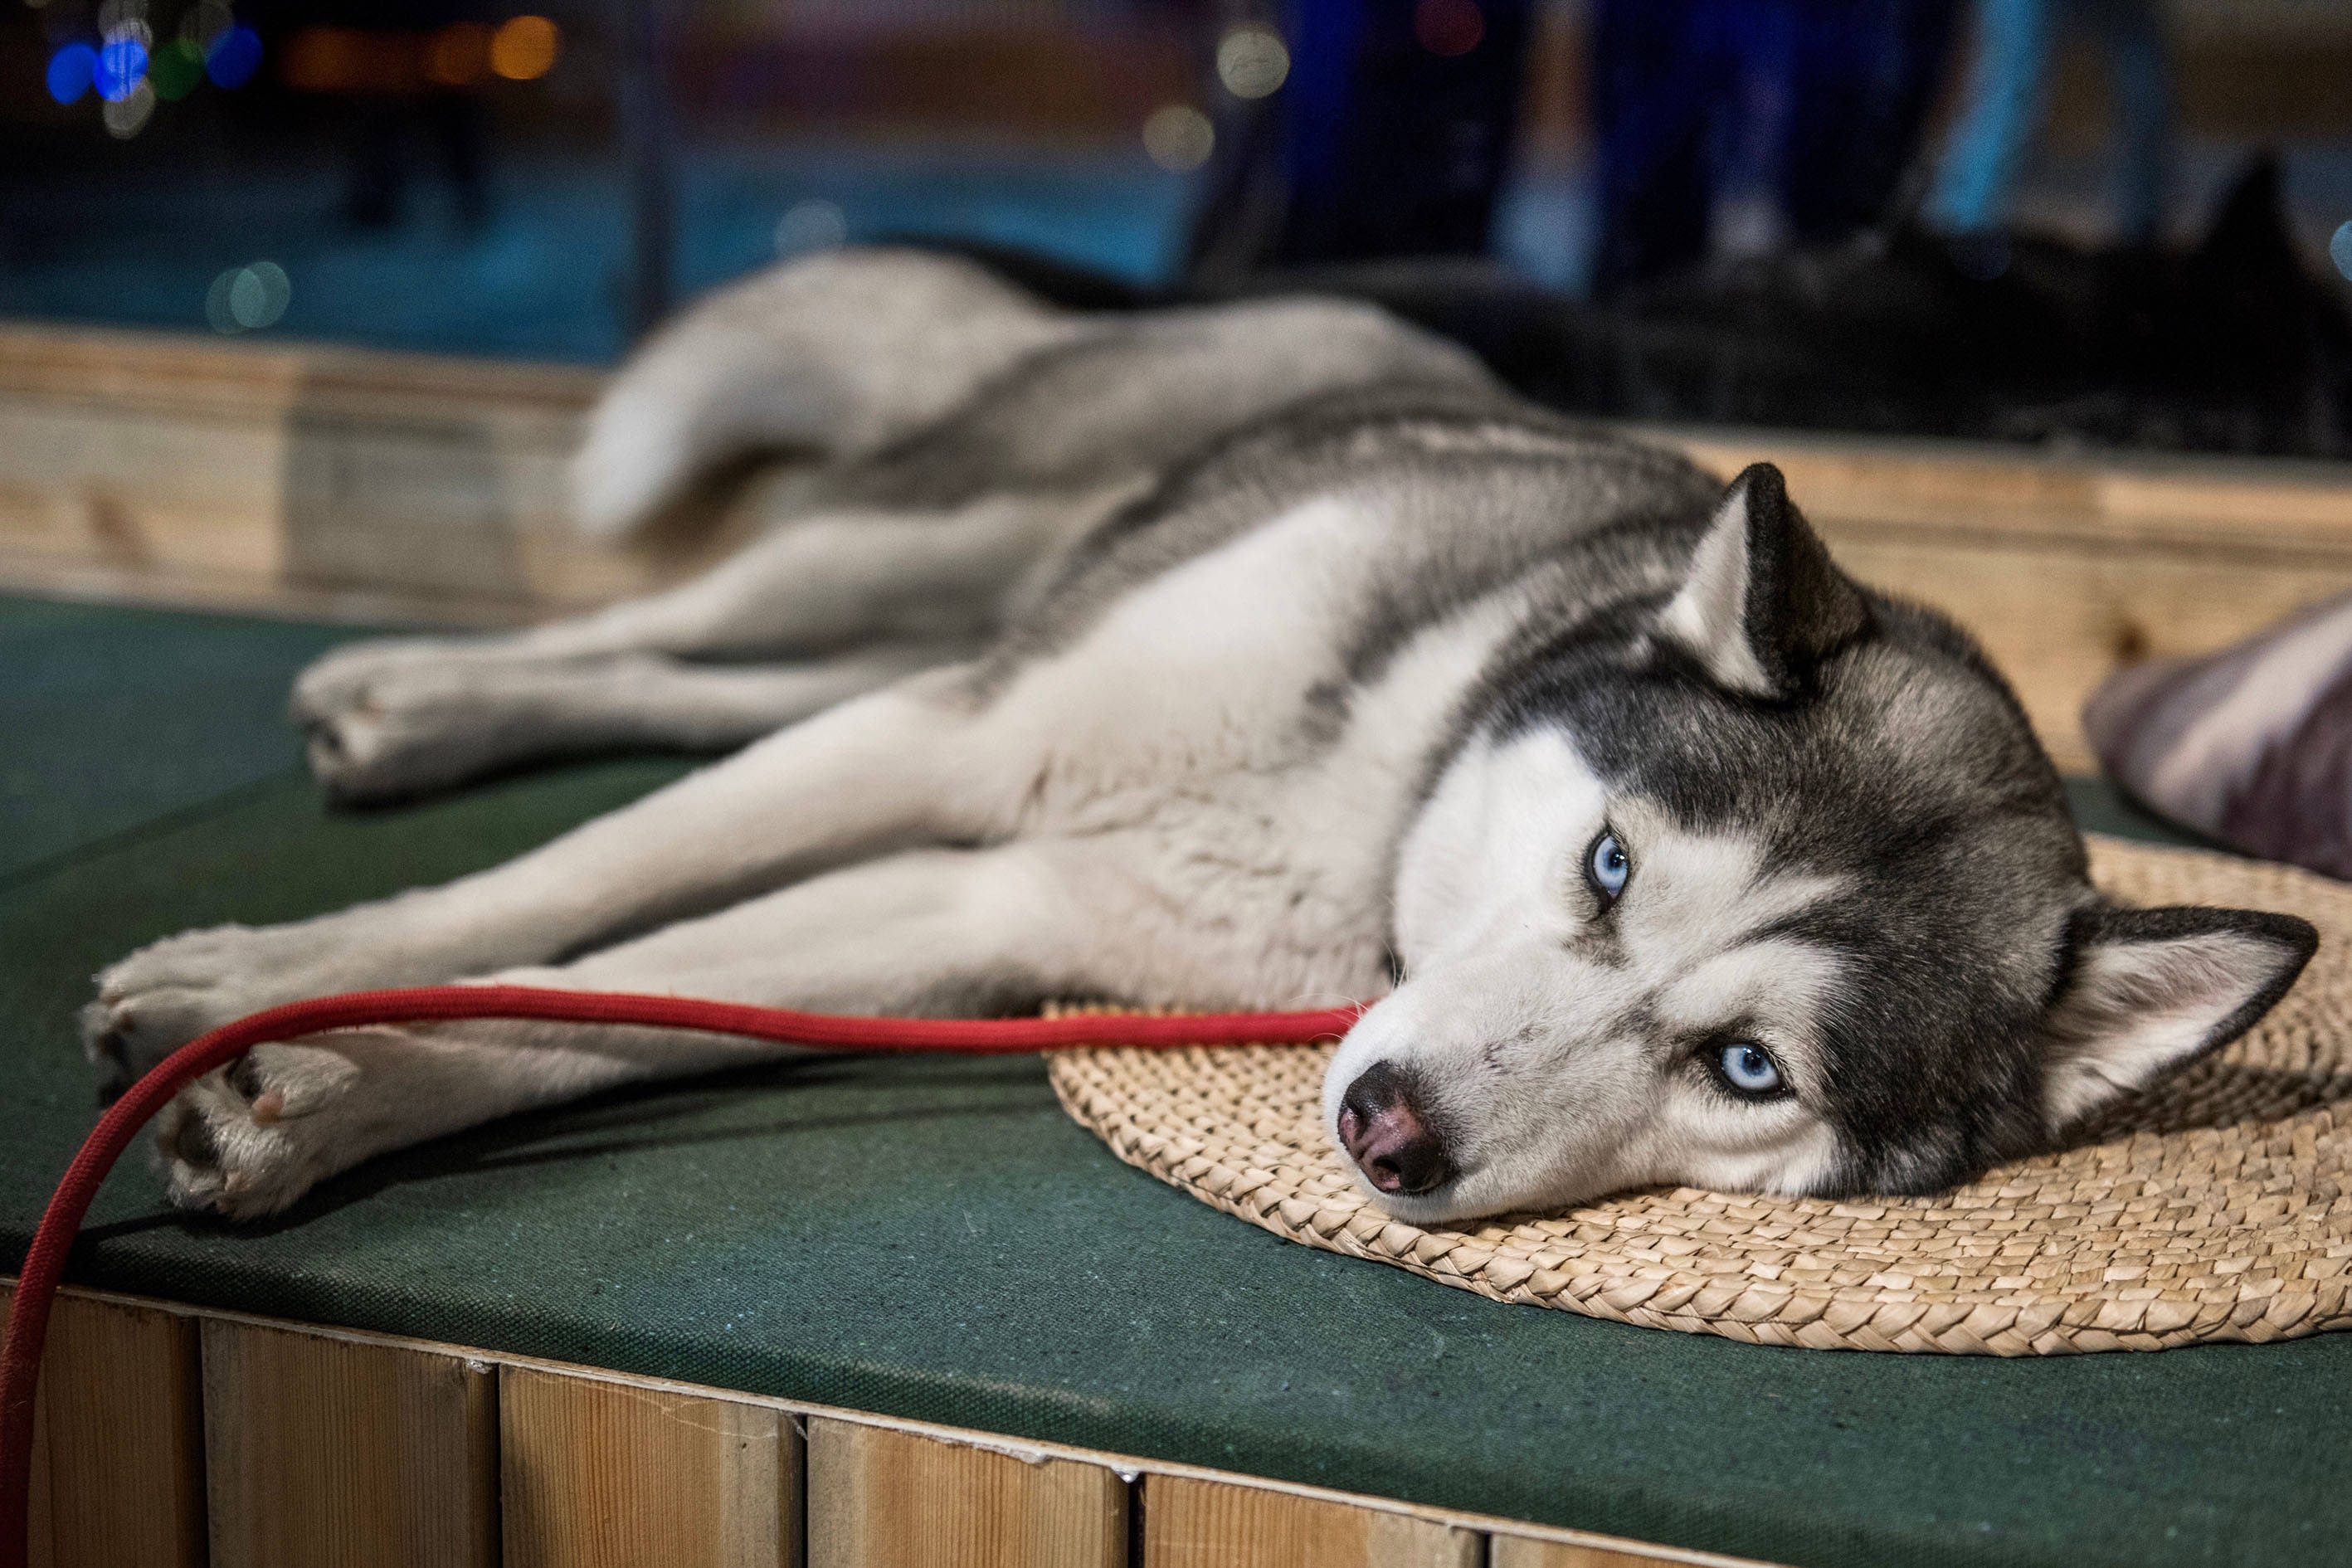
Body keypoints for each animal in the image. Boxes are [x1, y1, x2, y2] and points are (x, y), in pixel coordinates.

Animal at [86, 247, 2314, 1222]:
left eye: (1745, 1066)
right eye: (1608, 869)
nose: (1390, 1131)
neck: (1364, 803)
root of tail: (1387, 324)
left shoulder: (979, 906)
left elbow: (617, 1001)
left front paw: (318, 1090)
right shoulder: (972, 758)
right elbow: (567, 893)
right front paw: (253, 981)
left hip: (950, 636)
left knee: (725, 691)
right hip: (946, 561)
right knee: (684, 630)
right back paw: (407, 692)